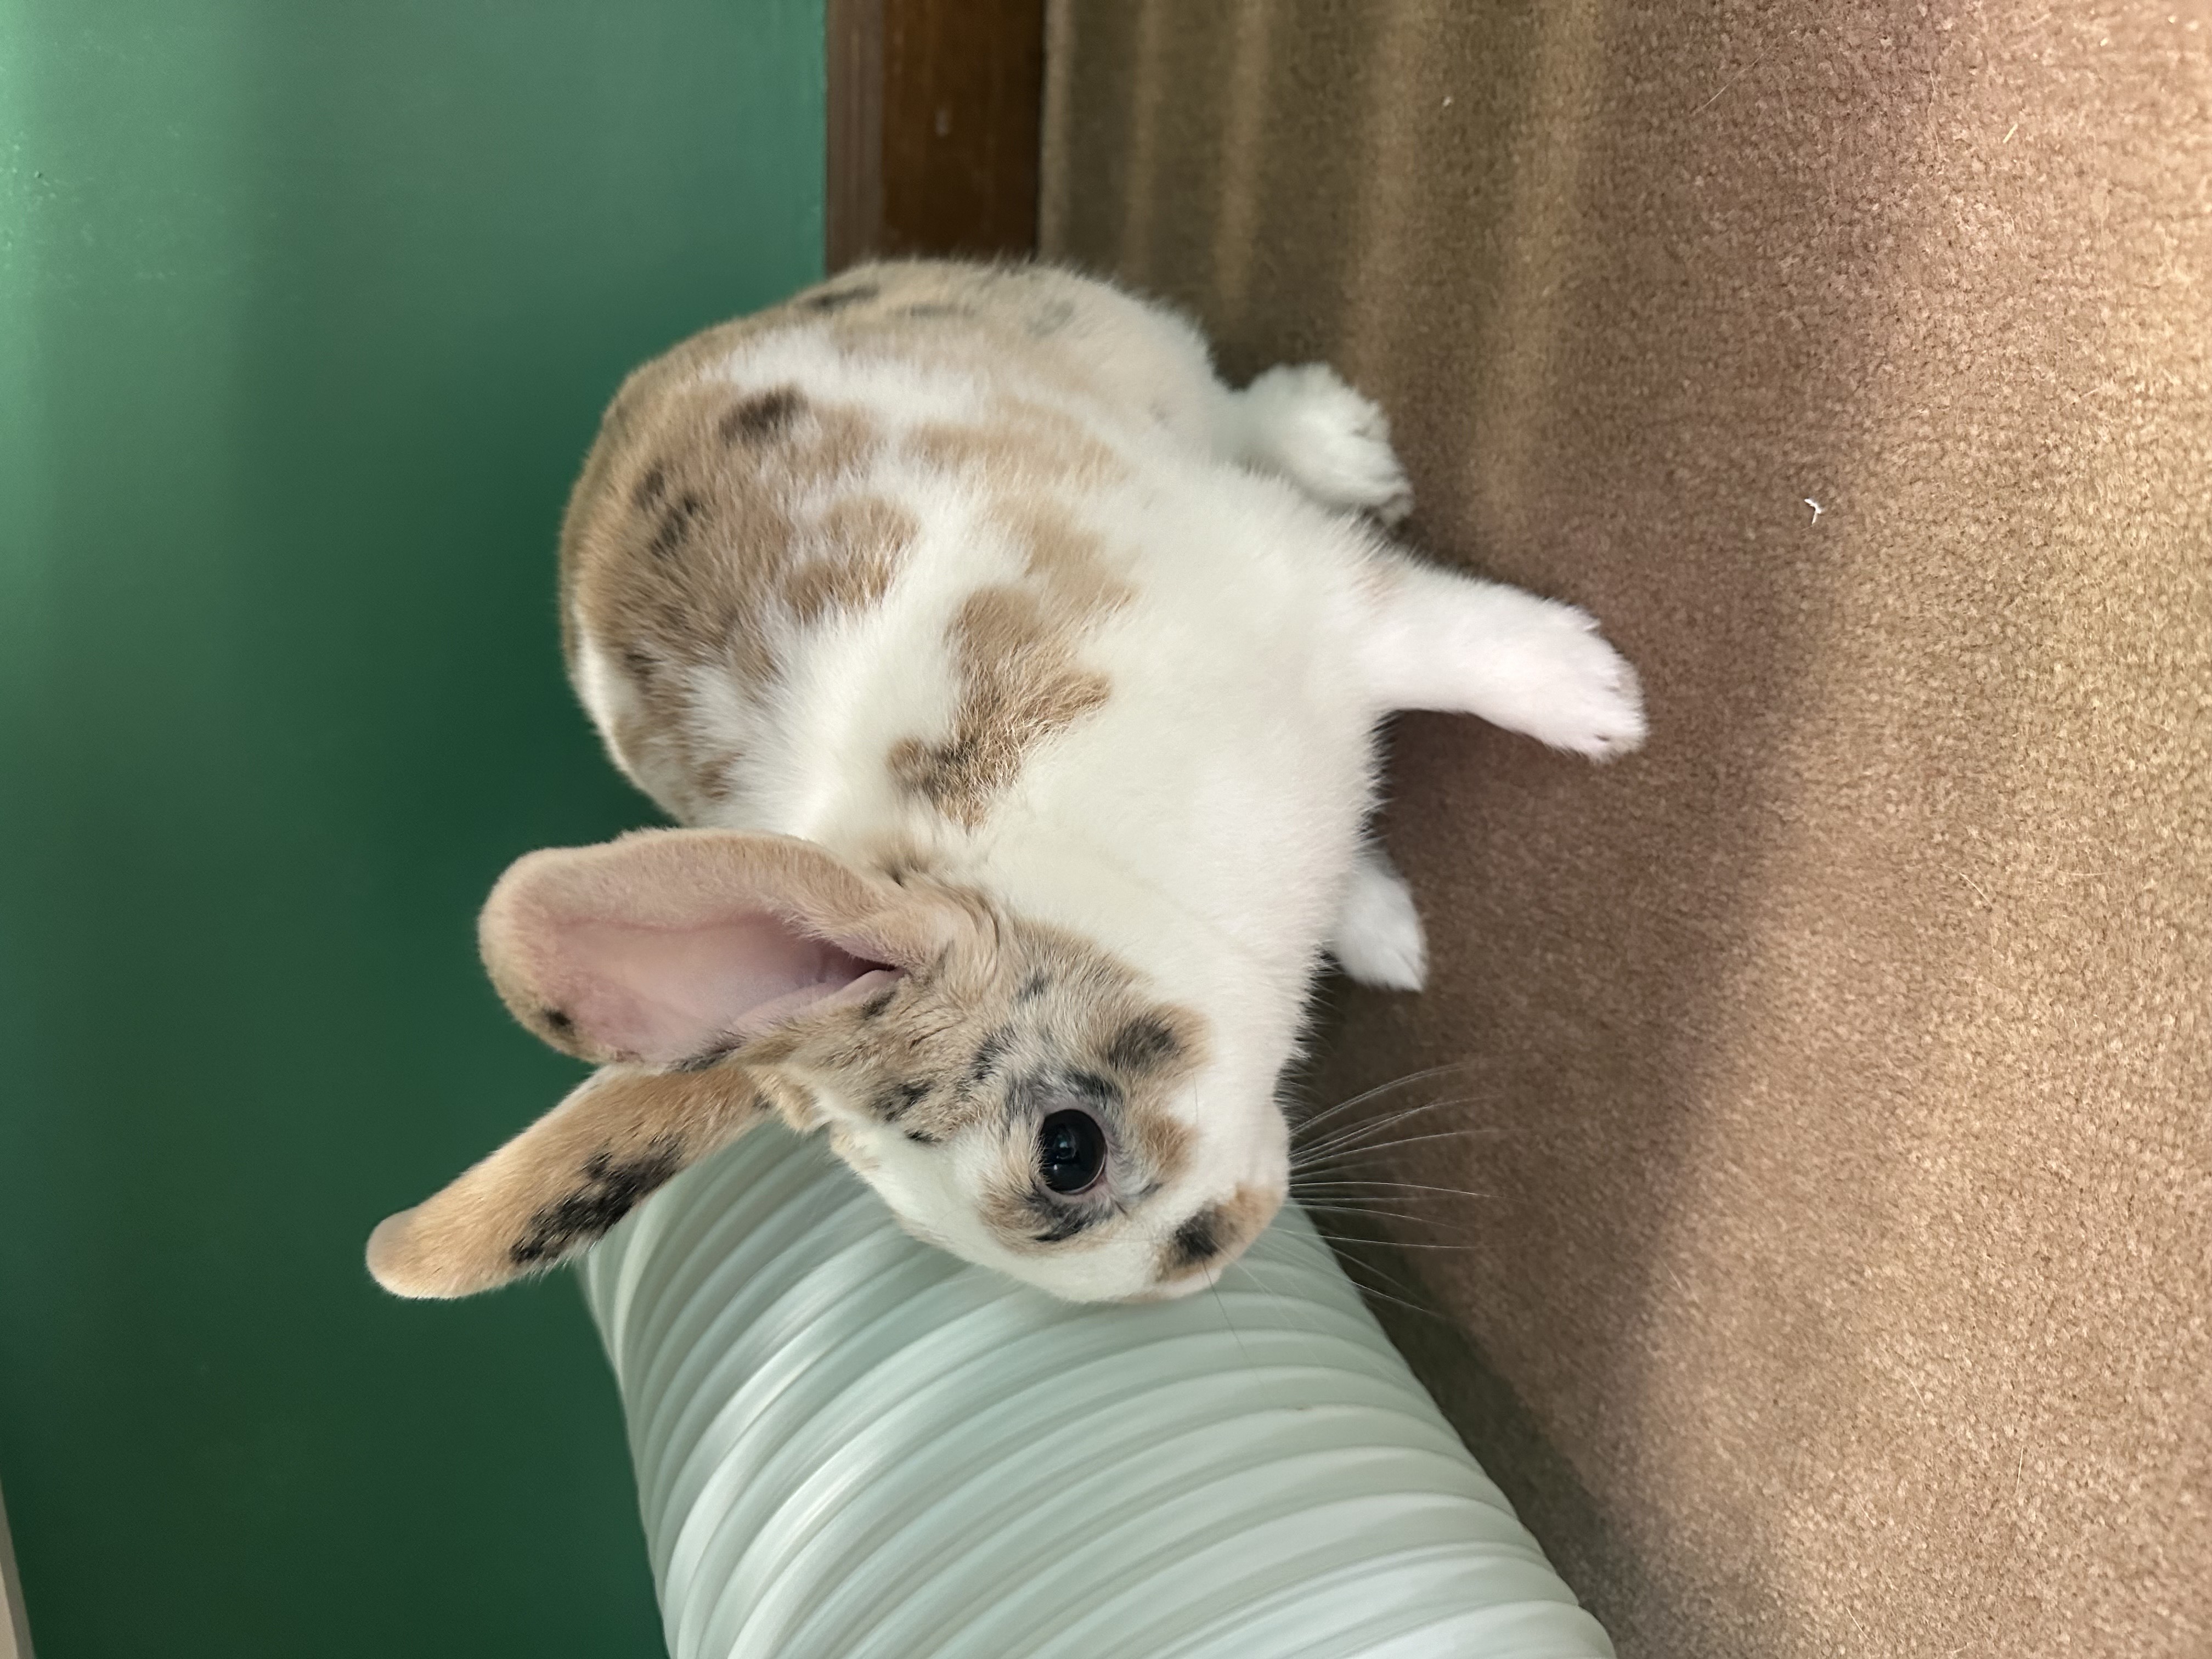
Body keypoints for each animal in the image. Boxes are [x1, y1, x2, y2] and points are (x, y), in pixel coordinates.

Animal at [365, 260, 1644, 1305]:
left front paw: (1602, 702)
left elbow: (1453, 643)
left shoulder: (1299, 590)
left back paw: (1340, 441)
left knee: (1234, 403)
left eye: (1067, 1151)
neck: (1085, 868)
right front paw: (1387, 934)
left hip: (1128, 358)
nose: (1219, 1250)